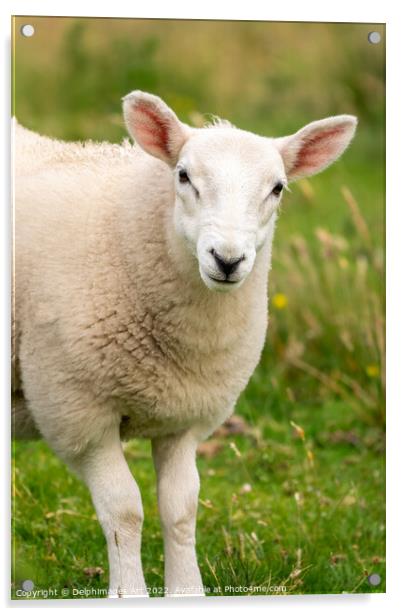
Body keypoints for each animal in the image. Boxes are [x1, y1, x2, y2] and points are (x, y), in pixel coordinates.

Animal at [12, 91, 356, 596]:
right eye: (183, 175)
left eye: (277, 188)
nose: (227, 260)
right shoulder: (79, 413)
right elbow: (124, 511)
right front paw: (128, 594)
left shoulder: (185, 415)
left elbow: (181, 510)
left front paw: (187, 591)